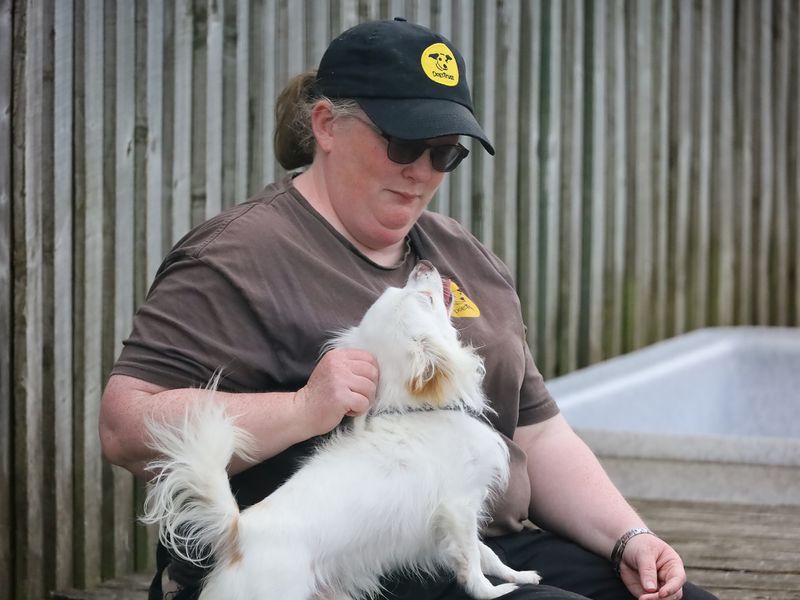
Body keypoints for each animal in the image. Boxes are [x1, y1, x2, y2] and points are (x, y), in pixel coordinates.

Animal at [144, 262, 544, 600]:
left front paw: (518, 575)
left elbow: (487, 552)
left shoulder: (456, 518)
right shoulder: (459, 508)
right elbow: (472, 562)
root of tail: (238, 533)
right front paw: (495, 592)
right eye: (427, 299)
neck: (417, 410)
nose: (422, 264)